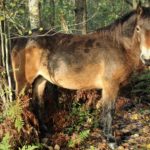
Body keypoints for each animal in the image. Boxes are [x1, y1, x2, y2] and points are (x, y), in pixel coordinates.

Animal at [10, 4, 150, 148]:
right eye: (138, 28)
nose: (147, 58)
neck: (118, 46)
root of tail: (21, 39)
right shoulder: (111, 86)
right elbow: (109, 111)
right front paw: (110, 140)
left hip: (40, 79)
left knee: (37, 103)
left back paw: (44, 131)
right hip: (22, 82)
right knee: (17, 106)